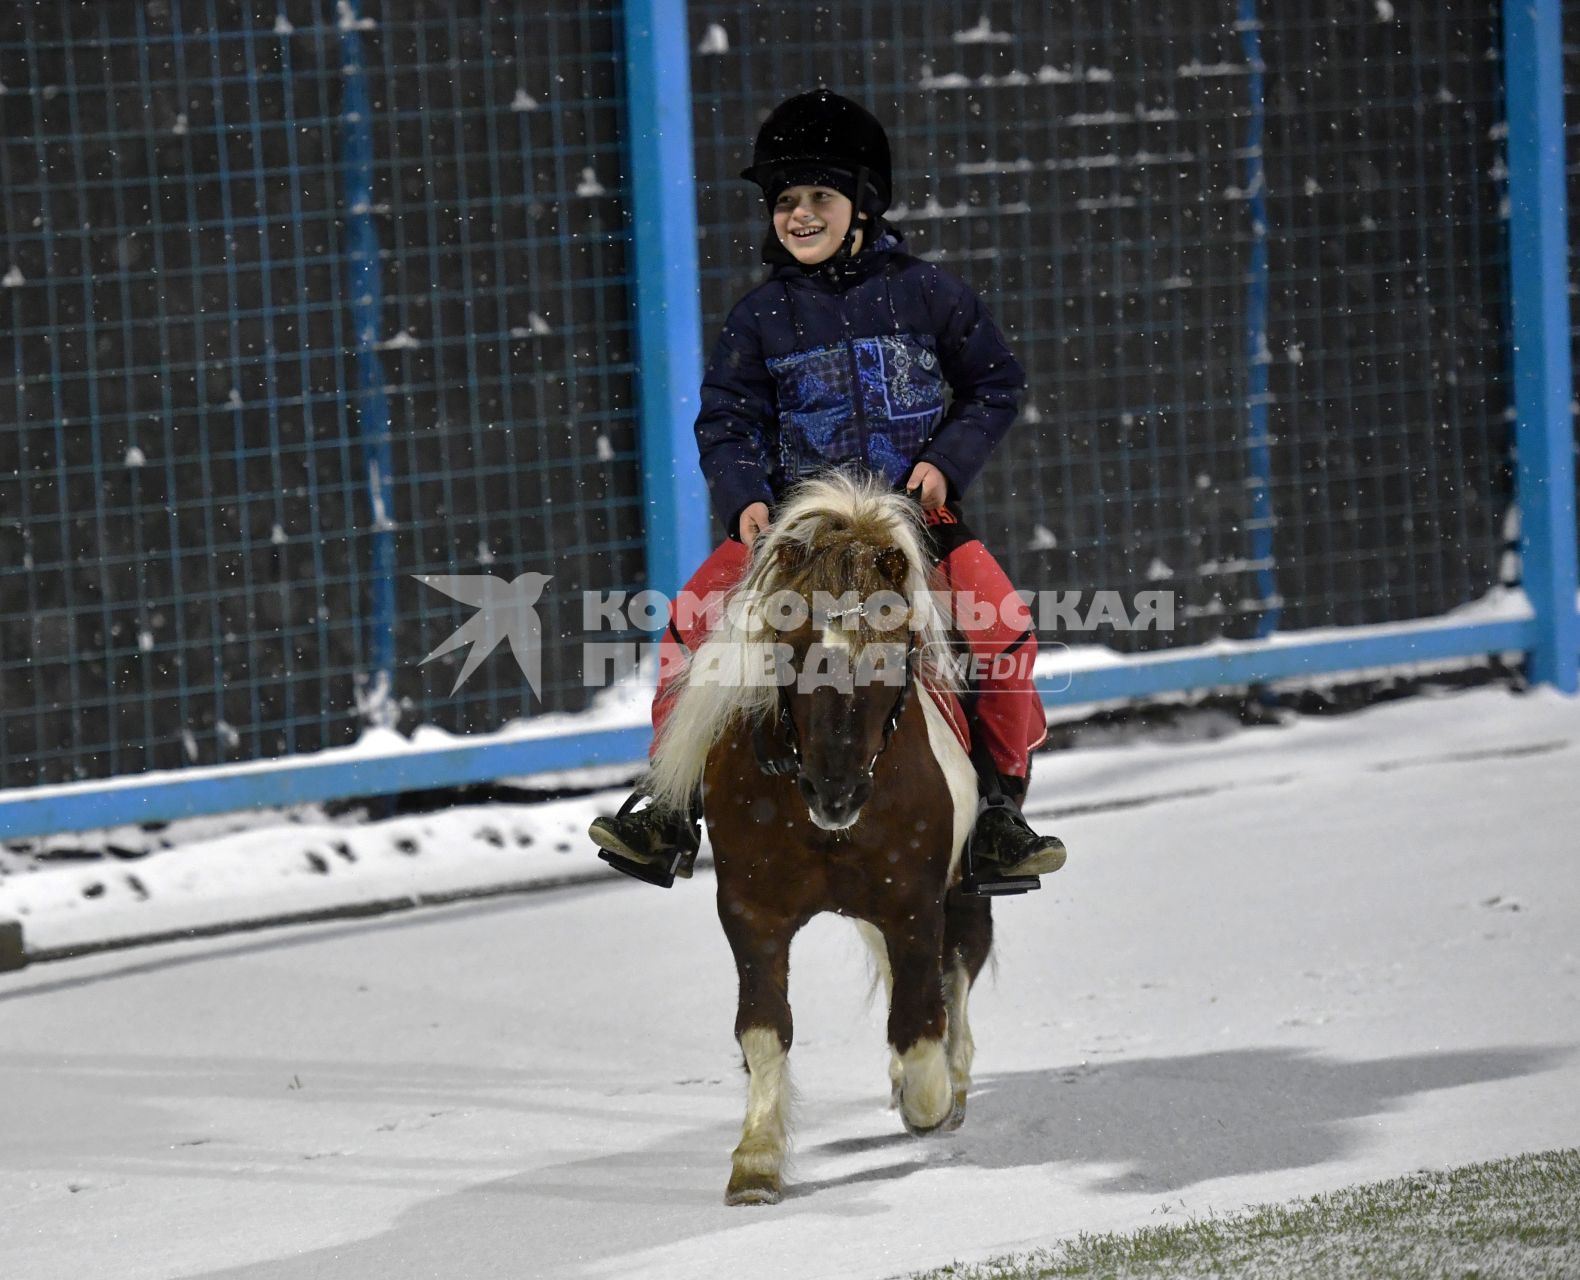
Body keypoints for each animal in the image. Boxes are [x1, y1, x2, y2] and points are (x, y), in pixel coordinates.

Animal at [641, 470, 985, 1207]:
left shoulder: (913, 904)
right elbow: (765, 1027)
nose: (837, 793)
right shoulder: (751, 912)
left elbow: (920, 1022)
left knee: (959, 967)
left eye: (892, 652)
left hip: (966, 889)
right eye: (790, 647)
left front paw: (931, 1101)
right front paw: (757, 1160)